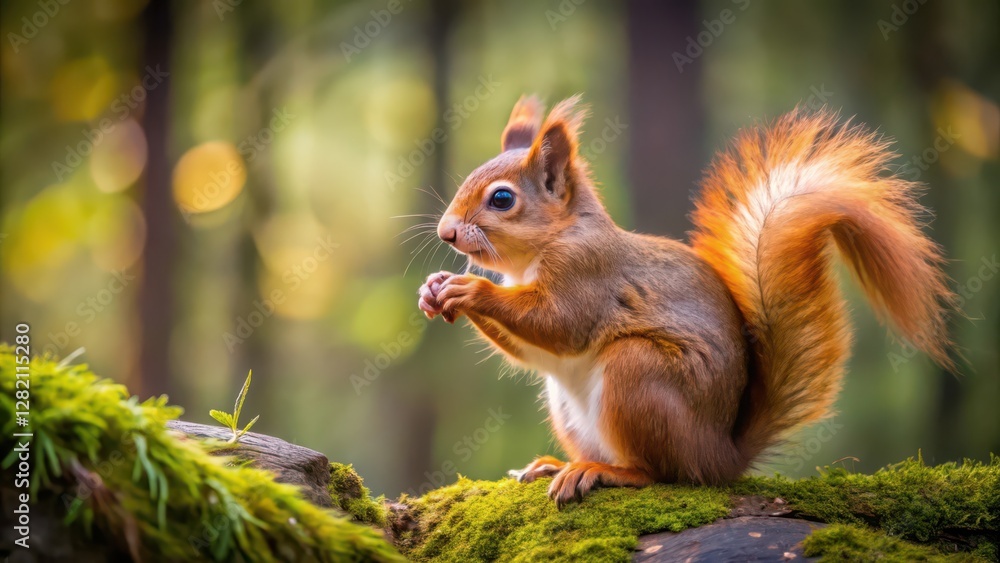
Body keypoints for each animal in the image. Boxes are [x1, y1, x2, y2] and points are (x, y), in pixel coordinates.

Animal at [417, 95, 954, 507]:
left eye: (502, 200)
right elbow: (533, 351)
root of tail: (718, 456)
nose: (446, 232)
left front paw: (471, 289)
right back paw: (560, 464)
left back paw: (604, 472)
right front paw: (433, 289)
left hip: (639, 374)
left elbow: (559, 325)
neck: (545, 248)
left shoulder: (587, 275)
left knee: (660, 472)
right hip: (569, 405)